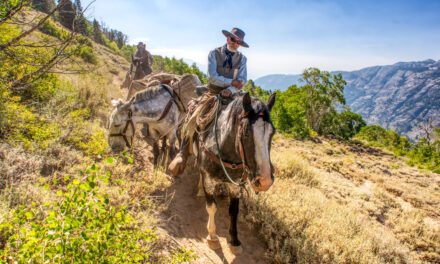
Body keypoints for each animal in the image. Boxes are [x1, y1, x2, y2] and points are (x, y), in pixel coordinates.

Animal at [197, 92, 276, 254]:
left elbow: (233, 211)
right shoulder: (208, 180)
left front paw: (234, 240)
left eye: (273, 133)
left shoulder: (236, 186)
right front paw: (212, 236)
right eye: (246, 132)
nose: (265, 181)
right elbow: (211, 207)